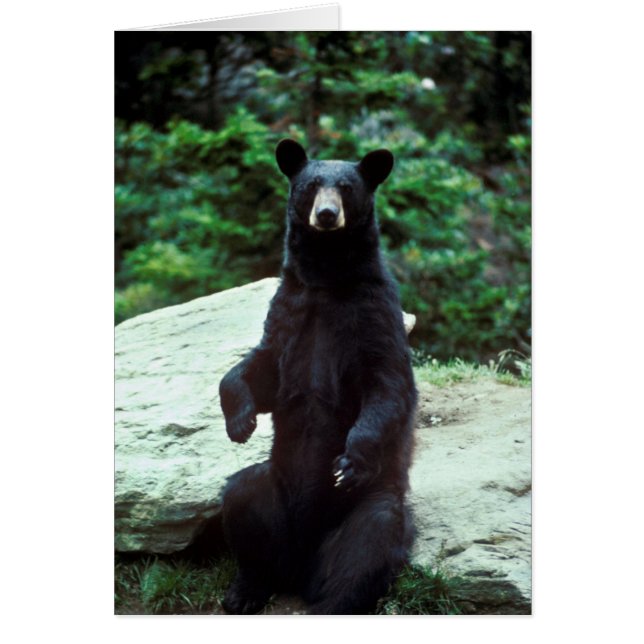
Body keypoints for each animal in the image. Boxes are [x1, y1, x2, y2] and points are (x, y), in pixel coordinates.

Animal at [218, 138, 418, 615]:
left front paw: (349, 460)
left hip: (365, 507)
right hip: (273, 495)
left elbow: (387, 385)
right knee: (242, 498)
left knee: (367, 543)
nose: (326, 215)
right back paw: (245, 591)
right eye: (310, 186)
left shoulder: (375, 313)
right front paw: (240, 422)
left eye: (345, 187)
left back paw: (332, 601)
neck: (327, 280)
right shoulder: (290, 308)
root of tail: (300, 569)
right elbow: (261, 366)